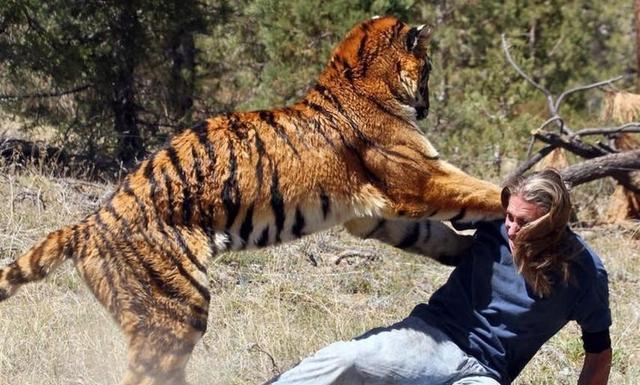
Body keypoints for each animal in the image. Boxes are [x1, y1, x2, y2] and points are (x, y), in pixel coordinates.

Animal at [0, 15, 504, 384]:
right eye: (429, 69)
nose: (428, 106)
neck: (357, 77)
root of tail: (88, 222)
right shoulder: (417, 179)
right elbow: (475, 190)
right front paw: (519, 194)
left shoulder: (371, 215)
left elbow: (430, 234)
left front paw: (463, 251)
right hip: (175, 311)